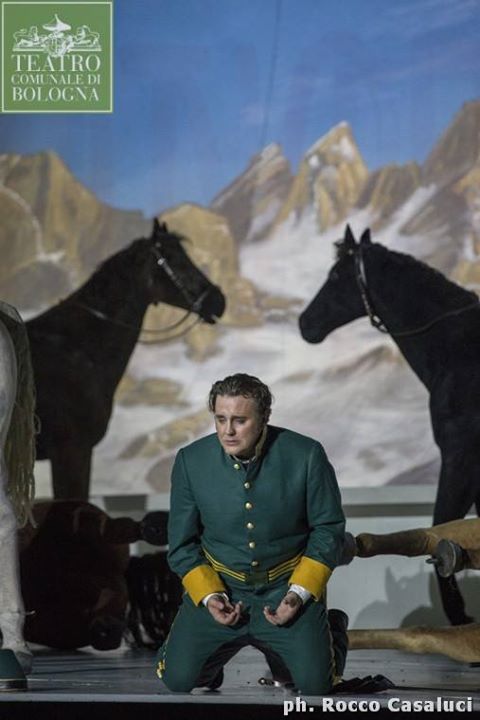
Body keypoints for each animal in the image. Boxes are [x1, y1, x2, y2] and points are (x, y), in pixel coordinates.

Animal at [299, 224, 480, 626]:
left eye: (336, 275)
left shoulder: (459, 456)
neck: (455, 348)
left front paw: (459, 614)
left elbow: (443, 527)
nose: (306, 323)